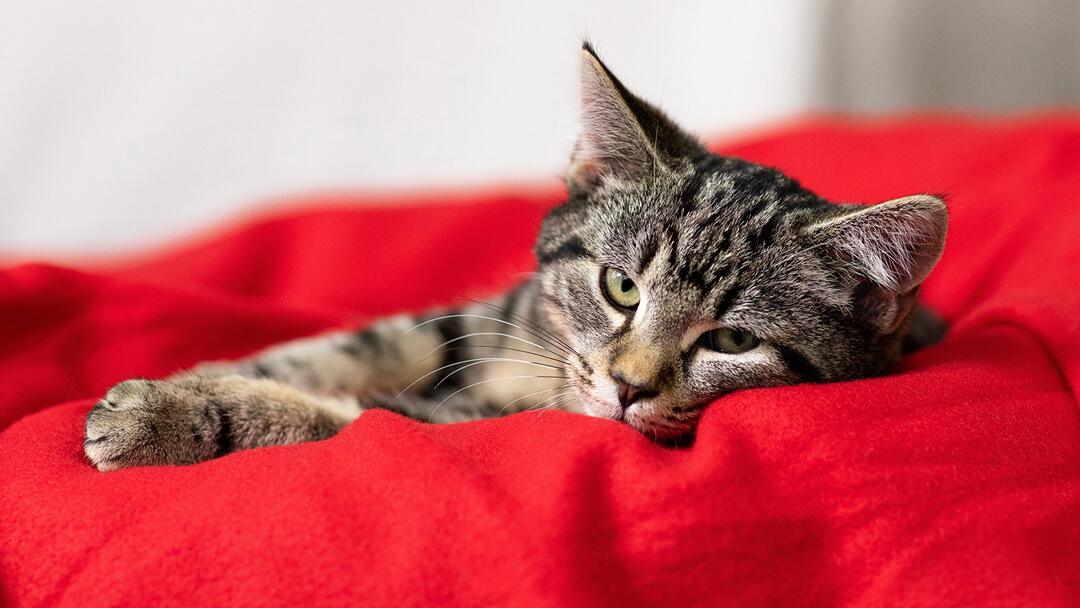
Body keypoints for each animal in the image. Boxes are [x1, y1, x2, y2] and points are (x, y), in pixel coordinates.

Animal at [84, 44, 946, 470]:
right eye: (621, 286)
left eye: (734, 341)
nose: (628, 387)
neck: (547, 368)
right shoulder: (468, 322)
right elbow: (339, 349)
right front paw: (204, 376)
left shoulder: (481, 423)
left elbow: (356, 416)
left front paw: (179, 415)